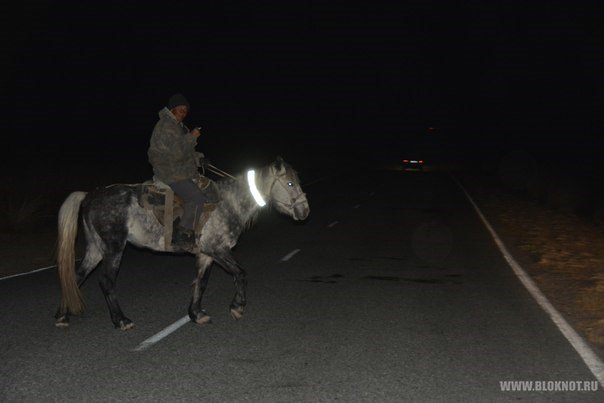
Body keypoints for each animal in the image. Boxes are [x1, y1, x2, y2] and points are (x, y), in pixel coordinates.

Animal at [53, 156, 310, 330]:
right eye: (290, 184)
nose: (305, 211)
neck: (229, 203)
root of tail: (90, 195)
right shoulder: (218, 249)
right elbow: (241, 273)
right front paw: (237, 307)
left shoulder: (206, 254)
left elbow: (201, 283)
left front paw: (196, 314)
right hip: (114, 248)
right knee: (106, 281)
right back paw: (121, 321)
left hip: (96, 249)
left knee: (75, 277)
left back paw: (62, 316)